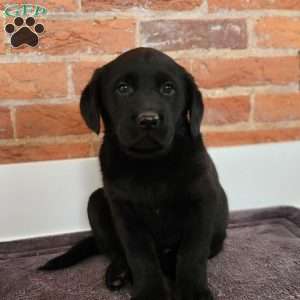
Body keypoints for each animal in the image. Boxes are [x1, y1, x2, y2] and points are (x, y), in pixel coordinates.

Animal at [39, 48, 227, 298]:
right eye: (123, 88)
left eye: (168, 88)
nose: (148, 120)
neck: (149, 163)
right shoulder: (125, 212)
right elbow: (140, 257)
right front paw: (150, 293)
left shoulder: (202, 203)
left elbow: (192, 254)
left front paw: (193, 292)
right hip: (95, 202)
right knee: (115, 251)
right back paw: (118, 273)